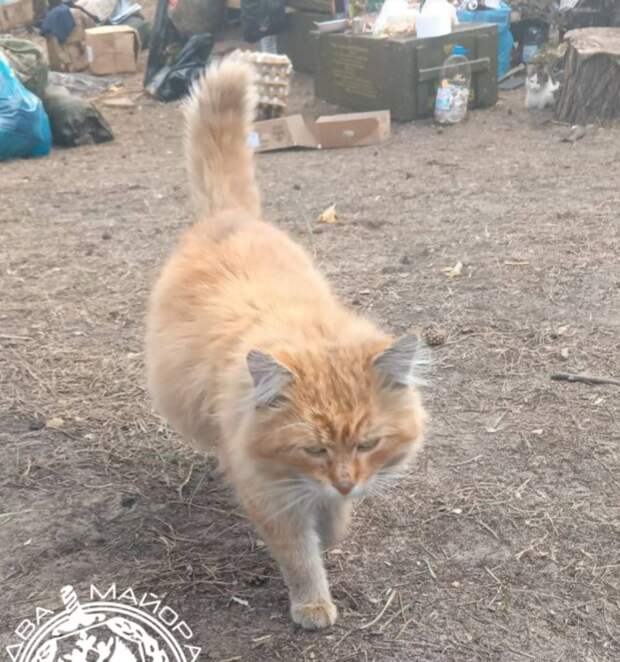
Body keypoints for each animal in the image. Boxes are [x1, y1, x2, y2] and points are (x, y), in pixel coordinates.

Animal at [145, 55, 428, 630]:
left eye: (368, 444)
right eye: (313, 449)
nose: (343, 481)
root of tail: (229, 216)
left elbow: (335, 523)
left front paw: (335, 528)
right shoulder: (271, 497)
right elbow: (301, 558)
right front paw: (313, 603)